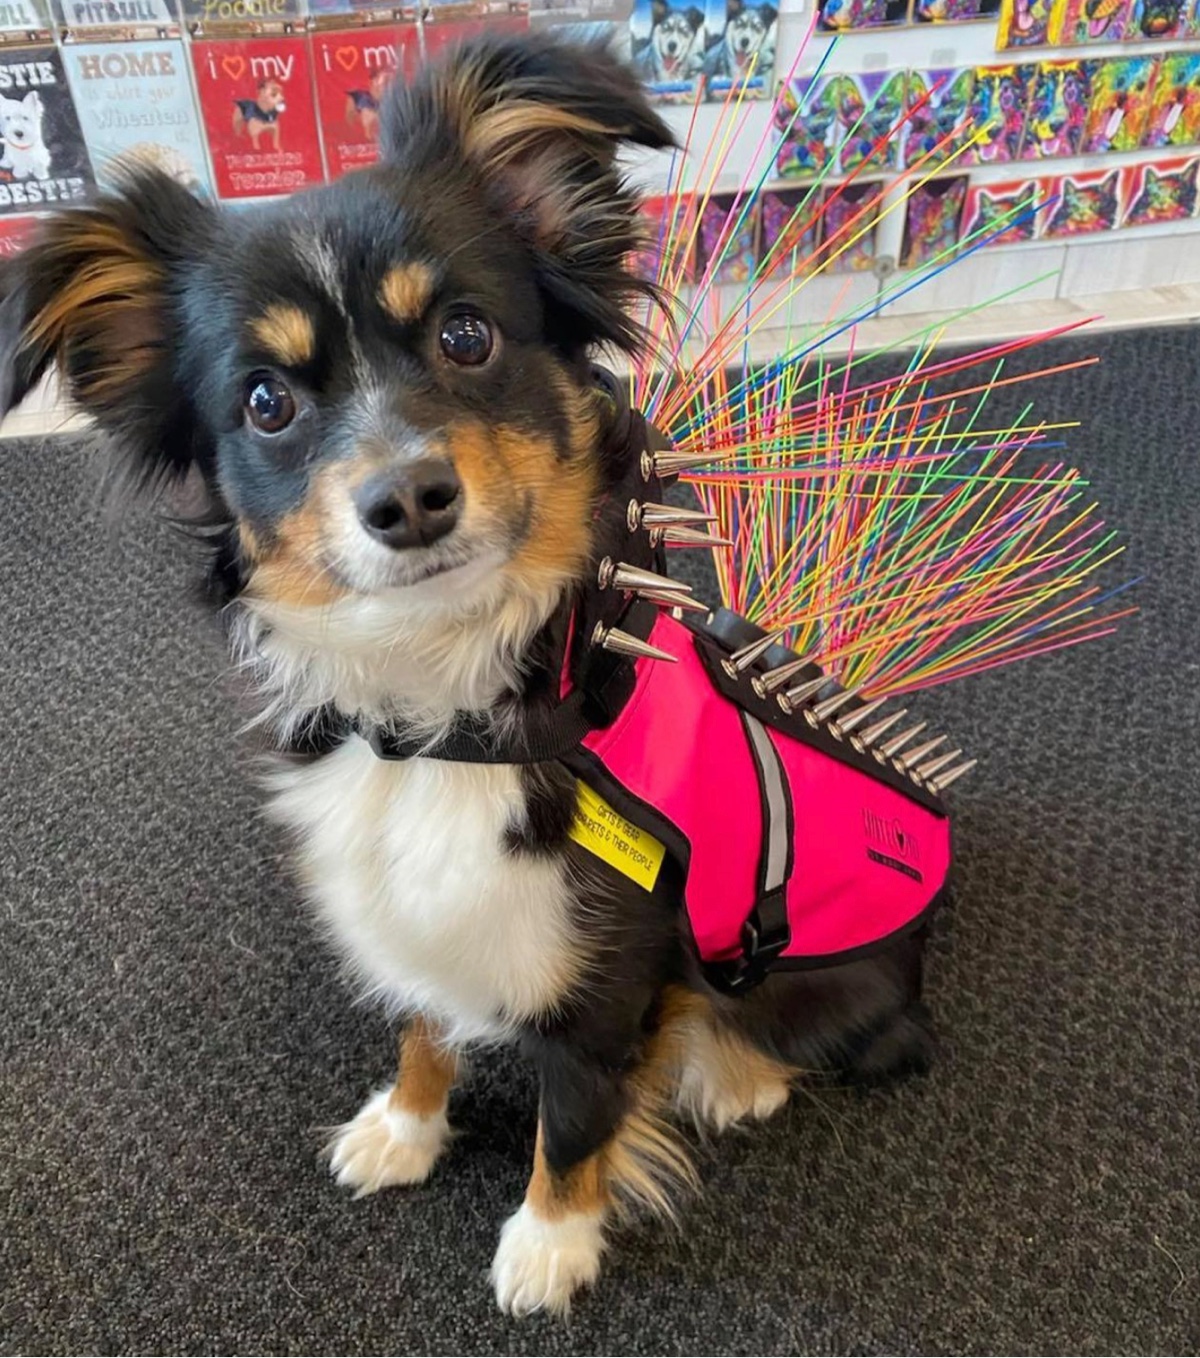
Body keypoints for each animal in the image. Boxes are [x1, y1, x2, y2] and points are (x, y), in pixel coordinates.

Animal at [0, 34, 955, 1314]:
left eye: (466, 335)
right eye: (266, 400)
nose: (406, 498)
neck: (444, 711)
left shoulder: (608, 968)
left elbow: (579, 1116)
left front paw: (549, 1243)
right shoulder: (409, 909)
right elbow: (420, 1022)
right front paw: (403, 1127)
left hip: (827, 987)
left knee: (831, 1032)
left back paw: (734, 1070)